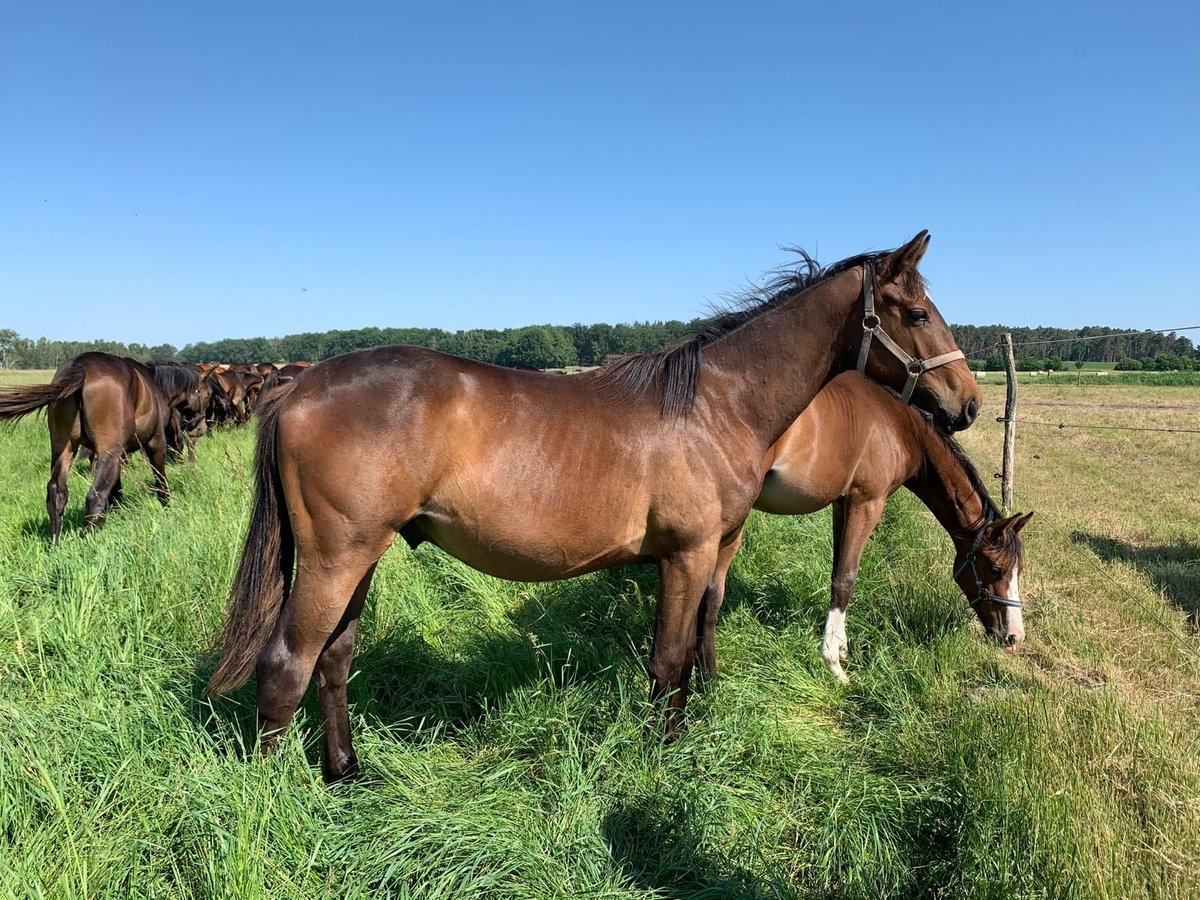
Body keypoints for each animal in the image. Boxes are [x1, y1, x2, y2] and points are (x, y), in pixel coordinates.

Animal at [0, 350, 198, 535]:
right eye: (199, 392)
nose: (198, 425)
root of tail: (80, 367)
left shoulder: (120, 454)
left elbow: (116, 488)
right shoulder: (155, 444)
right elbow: (161, 482)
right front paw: (167, 510)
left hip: (64, 448)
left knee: (57, 493)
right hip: (108, 452)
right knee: (95, 497)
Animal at [208, 232, 984, 782]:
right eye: (918, 313)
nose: (969, 403)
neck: (717, 402)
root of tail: (297, 389)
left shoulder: (700, 553)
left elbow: (684, 651)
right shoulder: (688, 553)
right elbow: (669, 660)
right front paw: (665, 757)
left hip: (360, 557)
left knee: (333, 660)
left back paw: (346, 773)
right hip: (334, 560)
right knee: (286, 666)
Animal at [696, 369, 1032, 686]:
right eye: (997, 570)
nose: (1014, 637)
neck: (900, 427)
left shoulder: (842, 505)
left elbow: (837, 570)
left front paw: (841, 647)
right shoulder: (867, 503)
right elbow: (846, 577)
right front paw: (834, 665)